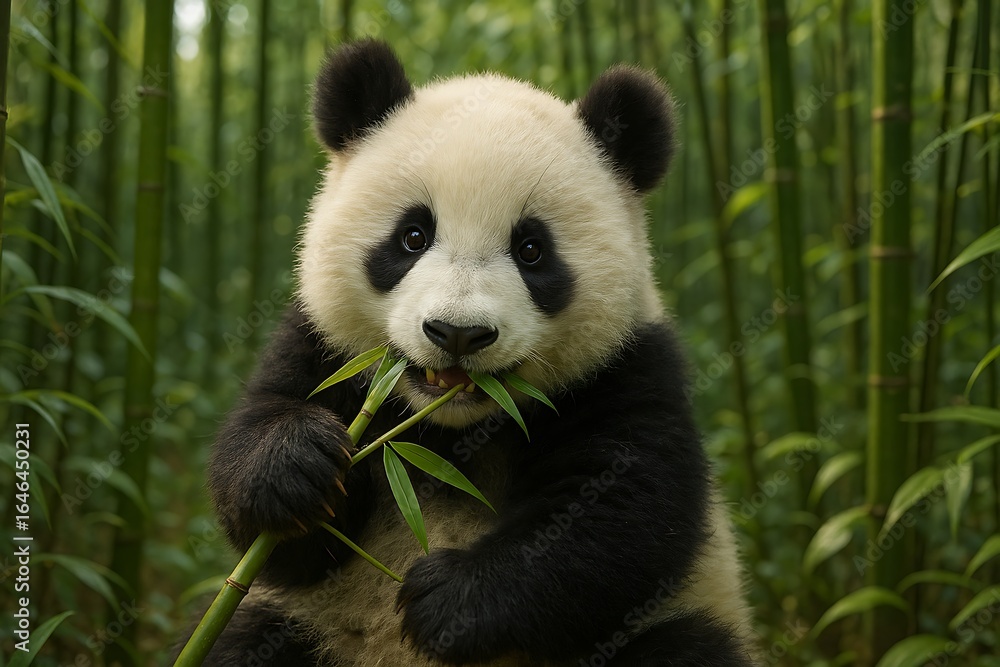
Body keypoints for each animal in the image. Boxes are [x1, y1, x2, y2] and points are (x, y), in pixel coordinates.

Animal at [196, 39, 758, 666]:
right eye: (413, 236)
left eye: (531, 249)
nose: (457, 333)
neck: (455, 429)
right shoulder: (325, 348)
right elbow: (275, 503)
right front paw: (294, 462)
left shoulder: (626, 366)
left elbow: (618, 513)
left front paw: (447, 600)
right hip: (303, 628)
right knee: (244, 642)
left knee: (682, 647)